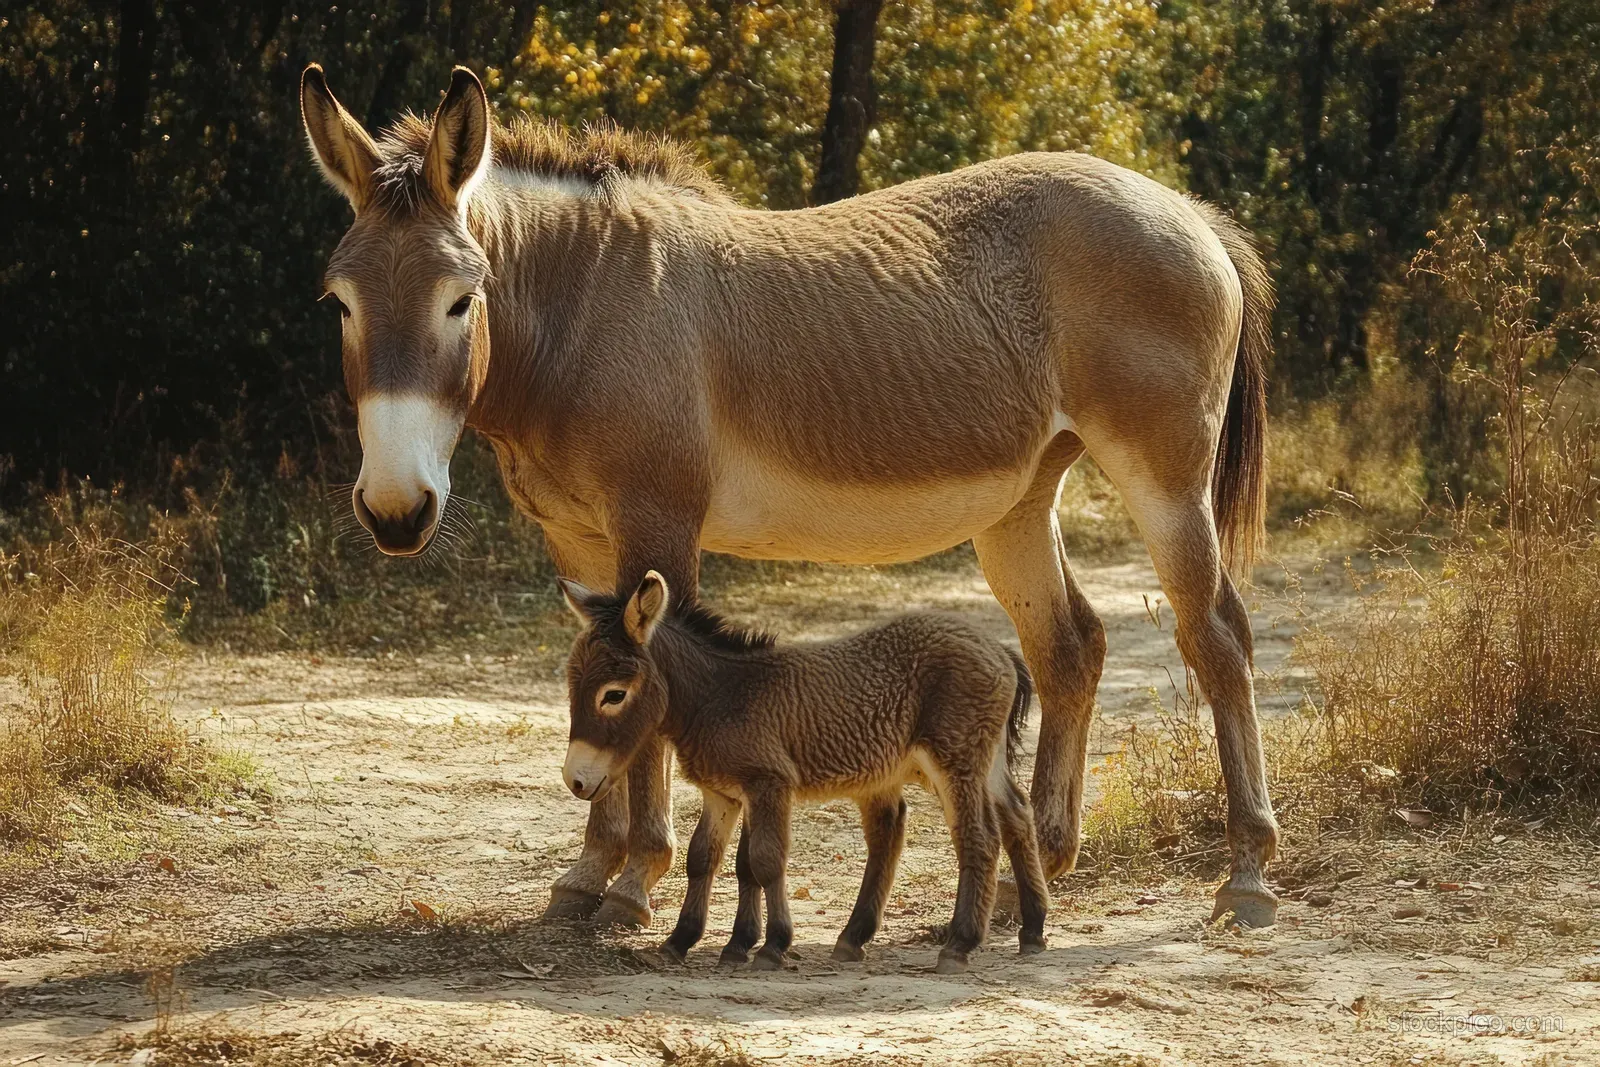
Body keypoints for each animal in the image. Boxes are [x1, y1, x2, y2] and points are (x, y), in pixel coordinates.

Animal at [299, 64, 1279, 929]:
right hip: (1019, 505)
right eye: (338, 303)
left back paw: (1246, 876)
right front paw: (587, 873)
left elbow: (650, 686)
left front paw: (635, 883)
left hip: (1165, 480)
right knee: (1069, 648)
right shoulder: (576, 539)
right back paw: (1027, 873)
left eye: (462, 300)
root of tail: (1186, 210)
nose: (395, 512)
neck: (587, 309)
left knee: (1218, 637)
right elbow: (602, 662)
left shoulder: (657, 527)